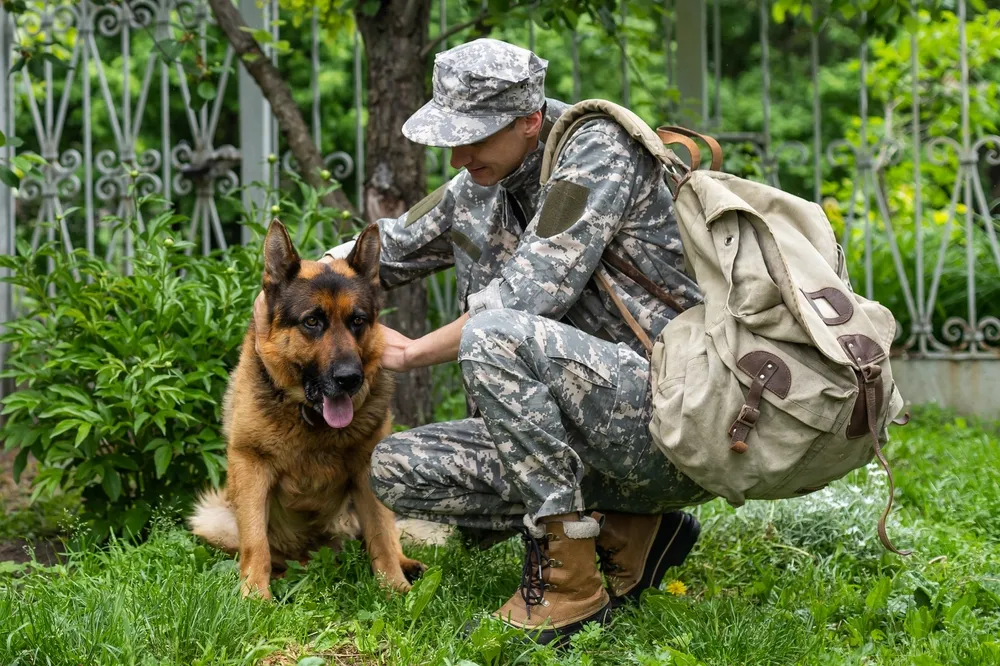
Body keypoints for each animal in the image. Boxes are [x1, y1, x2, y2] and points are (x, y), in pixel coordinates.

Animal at [188, 218, 426, 596]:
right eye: (312, 321)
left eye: (358, 320)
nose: (349, 379)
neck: (309, 416)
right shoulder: (251, 467)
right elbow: (256, 543)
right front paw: (255, 596)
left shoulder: (366, 471)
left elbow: (381, 535)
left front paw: (394, 589)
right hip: (212, 518)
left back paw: (405, 566)